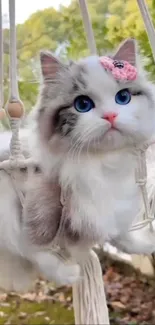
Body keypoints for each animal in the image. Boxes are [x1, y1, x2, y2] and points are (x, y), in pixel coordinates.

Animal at [0, 38, 155, 292]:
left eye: (123, 97)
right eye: (82, 104)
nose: (110, 116)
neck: (100, 163)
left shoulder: (110, 206)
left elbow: (120, 233)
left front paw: (145, 244)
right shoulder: (13, 212)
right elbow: (33, 248)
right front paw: (68, 274)